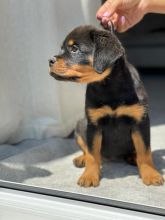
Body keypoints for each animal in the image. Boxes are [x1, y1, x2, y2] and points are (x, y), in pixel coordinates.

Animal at [48, 25, 164, 187]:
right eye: (62, 48)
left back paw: (132, 157)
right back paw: (81, 159)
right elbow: (92, 153)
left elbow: (144, 151)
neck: (109, 85)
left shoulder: (140, 121)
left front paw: (150, 174)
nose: (50, 60)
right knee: (86, 150)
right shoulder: (93, 124)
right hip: (80, 125)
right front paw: (89, 175)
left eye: (74, 49)